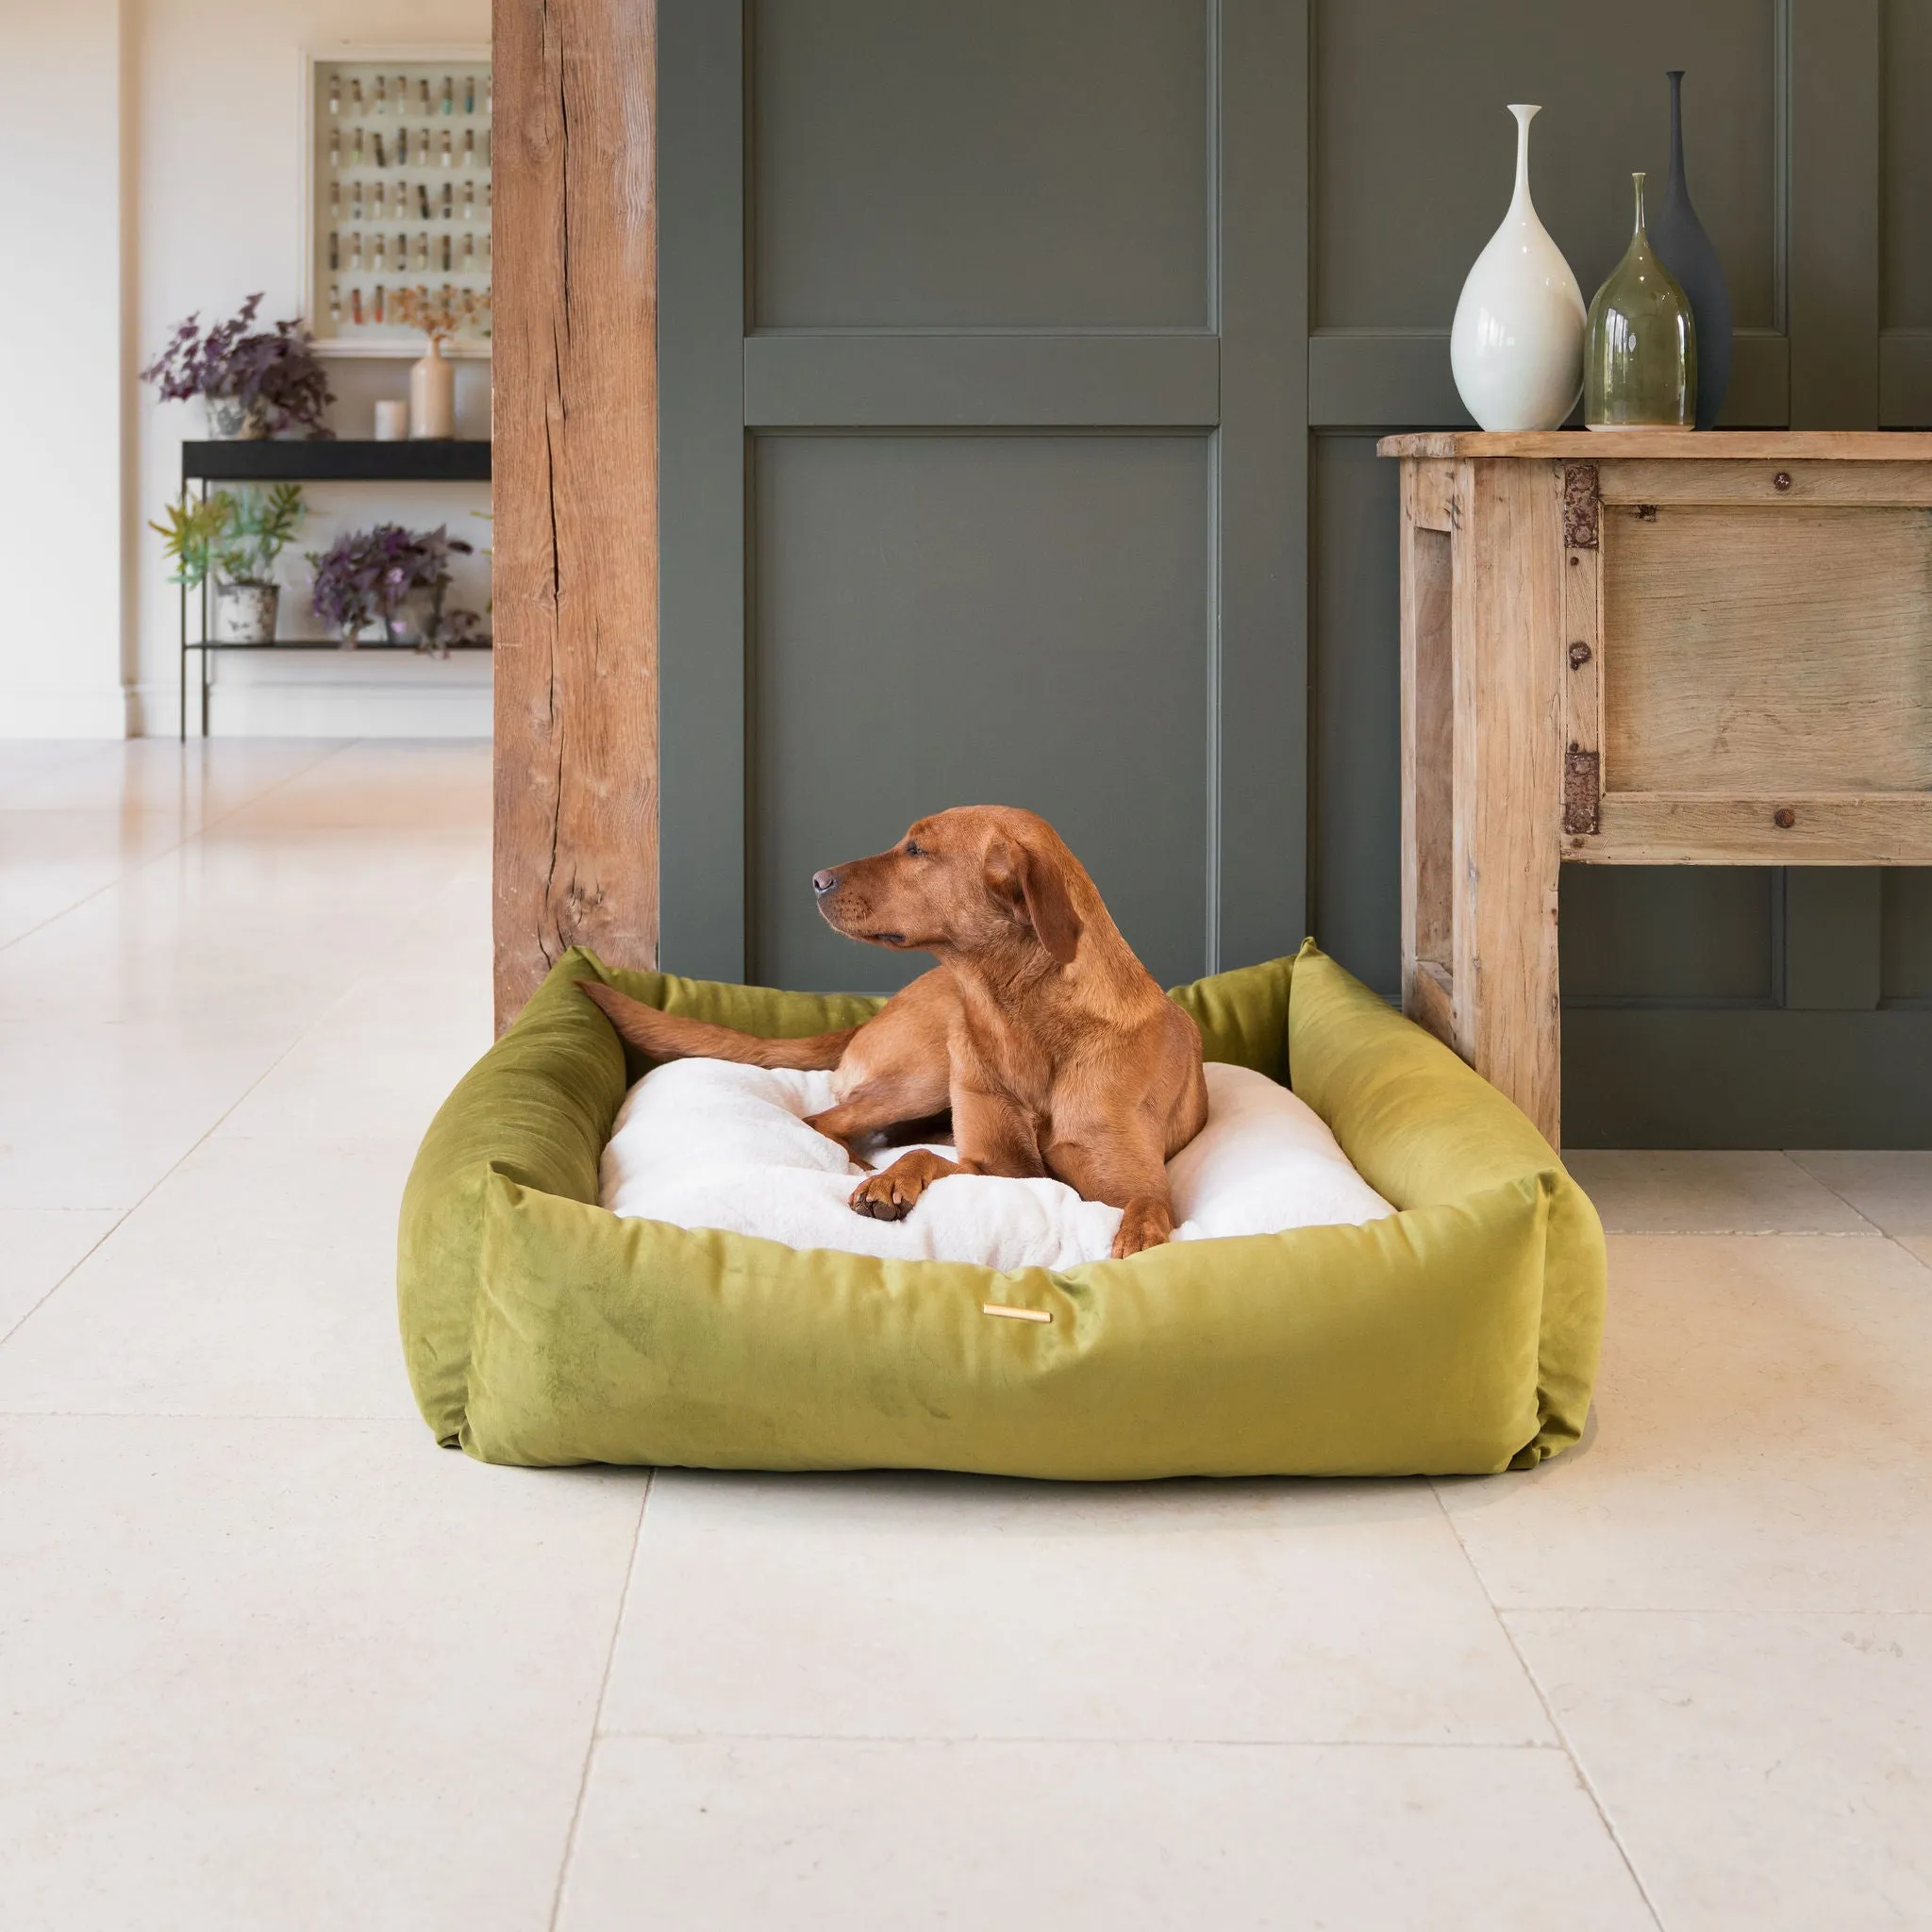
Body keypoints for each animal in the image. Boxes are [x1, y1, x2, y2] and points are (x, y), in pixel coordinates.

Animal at [575, 799, 1205, 1252]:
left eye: (917, 850)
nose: (816, 879)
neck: (1016, 1020)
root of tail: (869, 1017)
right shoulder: (992, 1167)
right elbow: (921, 1159)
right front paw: (887, 1181)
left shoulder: (1129, 1184)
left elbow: (1149, 1207)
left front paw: (1139, 1240)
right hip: (925, 1073)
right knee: (824, 1123)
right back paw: (864, 1164)